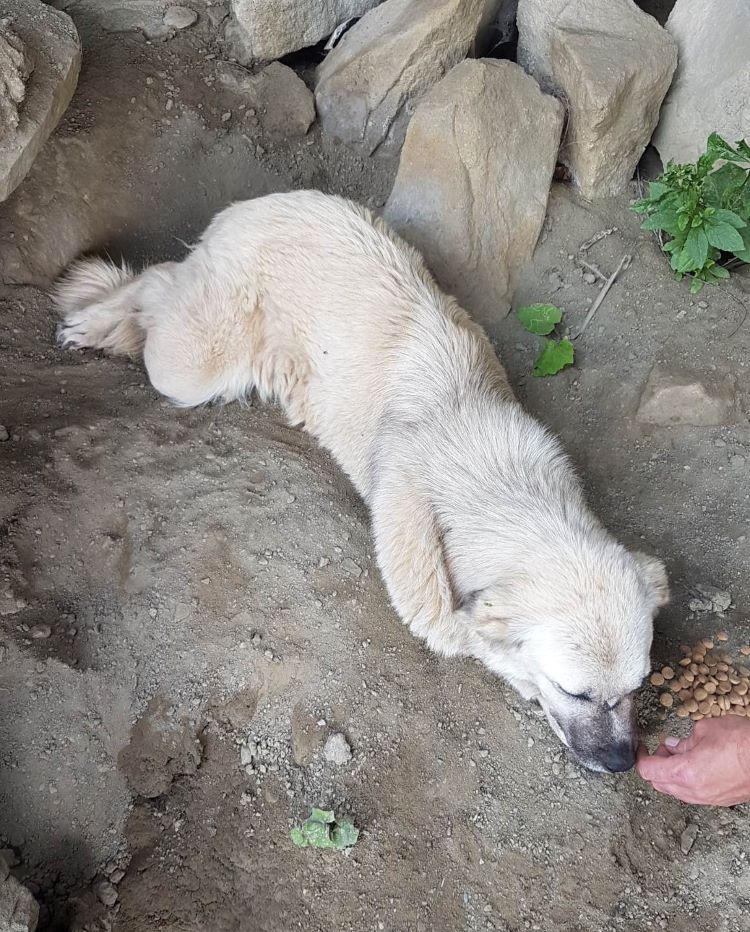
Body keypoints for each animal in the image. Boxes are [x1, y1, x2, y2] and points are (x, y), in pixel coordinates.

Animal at [55, 187, 672, 772]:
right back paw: (94, 317)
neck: (492, 471)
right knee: (158, 287)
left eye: (637, 688)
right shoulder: (412, 541)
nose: (622, 762)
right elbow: (454, 629)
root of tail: (252, 206)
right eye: (578, 692)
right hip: (193, 363)